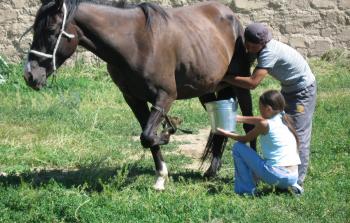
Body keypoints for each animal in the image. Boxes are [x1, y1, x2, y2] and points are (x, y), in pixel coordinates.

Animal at [23, 0, 256, 190]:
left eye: (51, 30)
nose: (30, 75)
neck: (135, 43)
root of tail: (230, 15)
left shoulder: (165, 97)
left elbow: (148, 136)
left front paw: (167, 132)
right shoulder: (134, 99)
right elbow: (147, 137)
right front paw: (161, 175)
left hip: (241, 85)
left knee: (248, 126)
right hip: (207, 90)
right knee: (220, 128)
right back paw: (212, 170)